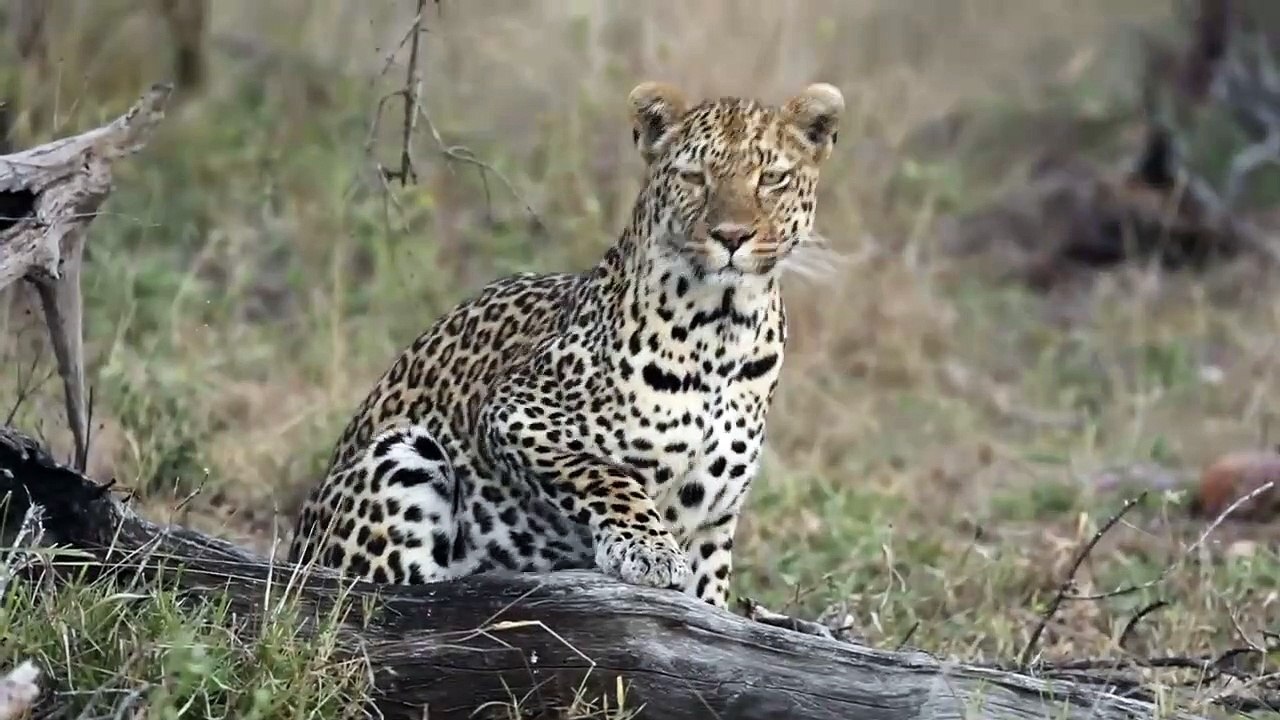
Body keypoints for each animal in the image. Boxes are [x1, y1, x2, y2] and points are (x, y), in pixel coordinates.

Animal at [287, 80, 844, 610]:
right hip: (402, 456)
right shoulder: (514, 415)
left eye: (771, 179)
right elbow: (607, 476)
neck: (724, 330)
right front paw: (647, 549)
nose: (731, 235)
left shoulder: (714, 519)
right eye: (694, 178)